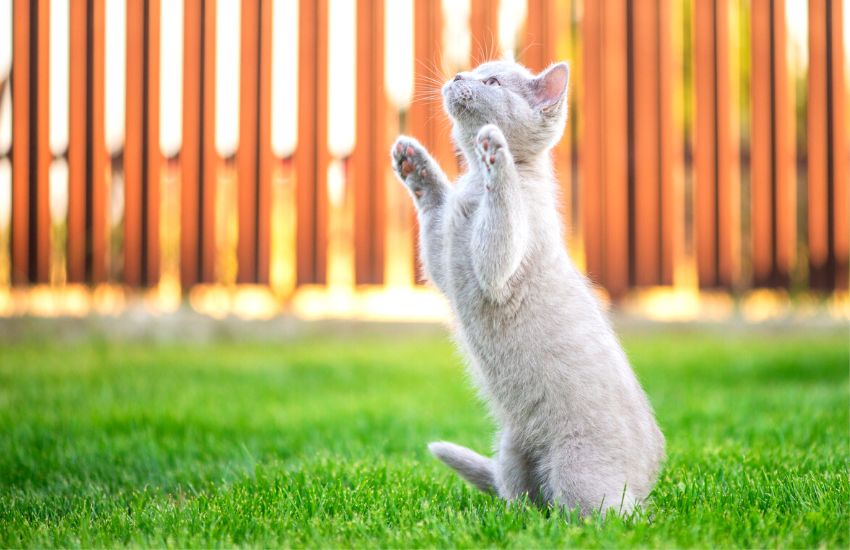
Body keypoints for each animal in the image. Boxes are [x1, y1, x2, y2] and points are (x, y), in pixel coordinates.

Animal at [390, 58, 664, 516]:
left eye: (492, 81)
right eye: (474, 71)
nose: (458, 76)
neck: (472, 189)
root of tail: (646, 477)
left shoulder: (497, 265)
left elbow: (503, 209)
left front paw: (494, 152)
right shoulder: (444, 262)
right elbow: (435, 216)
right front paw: (415, 163)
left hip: (578, 470)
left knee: (613, 514)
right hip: (511, 449)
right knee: (523, 498)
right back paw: (515, 516)